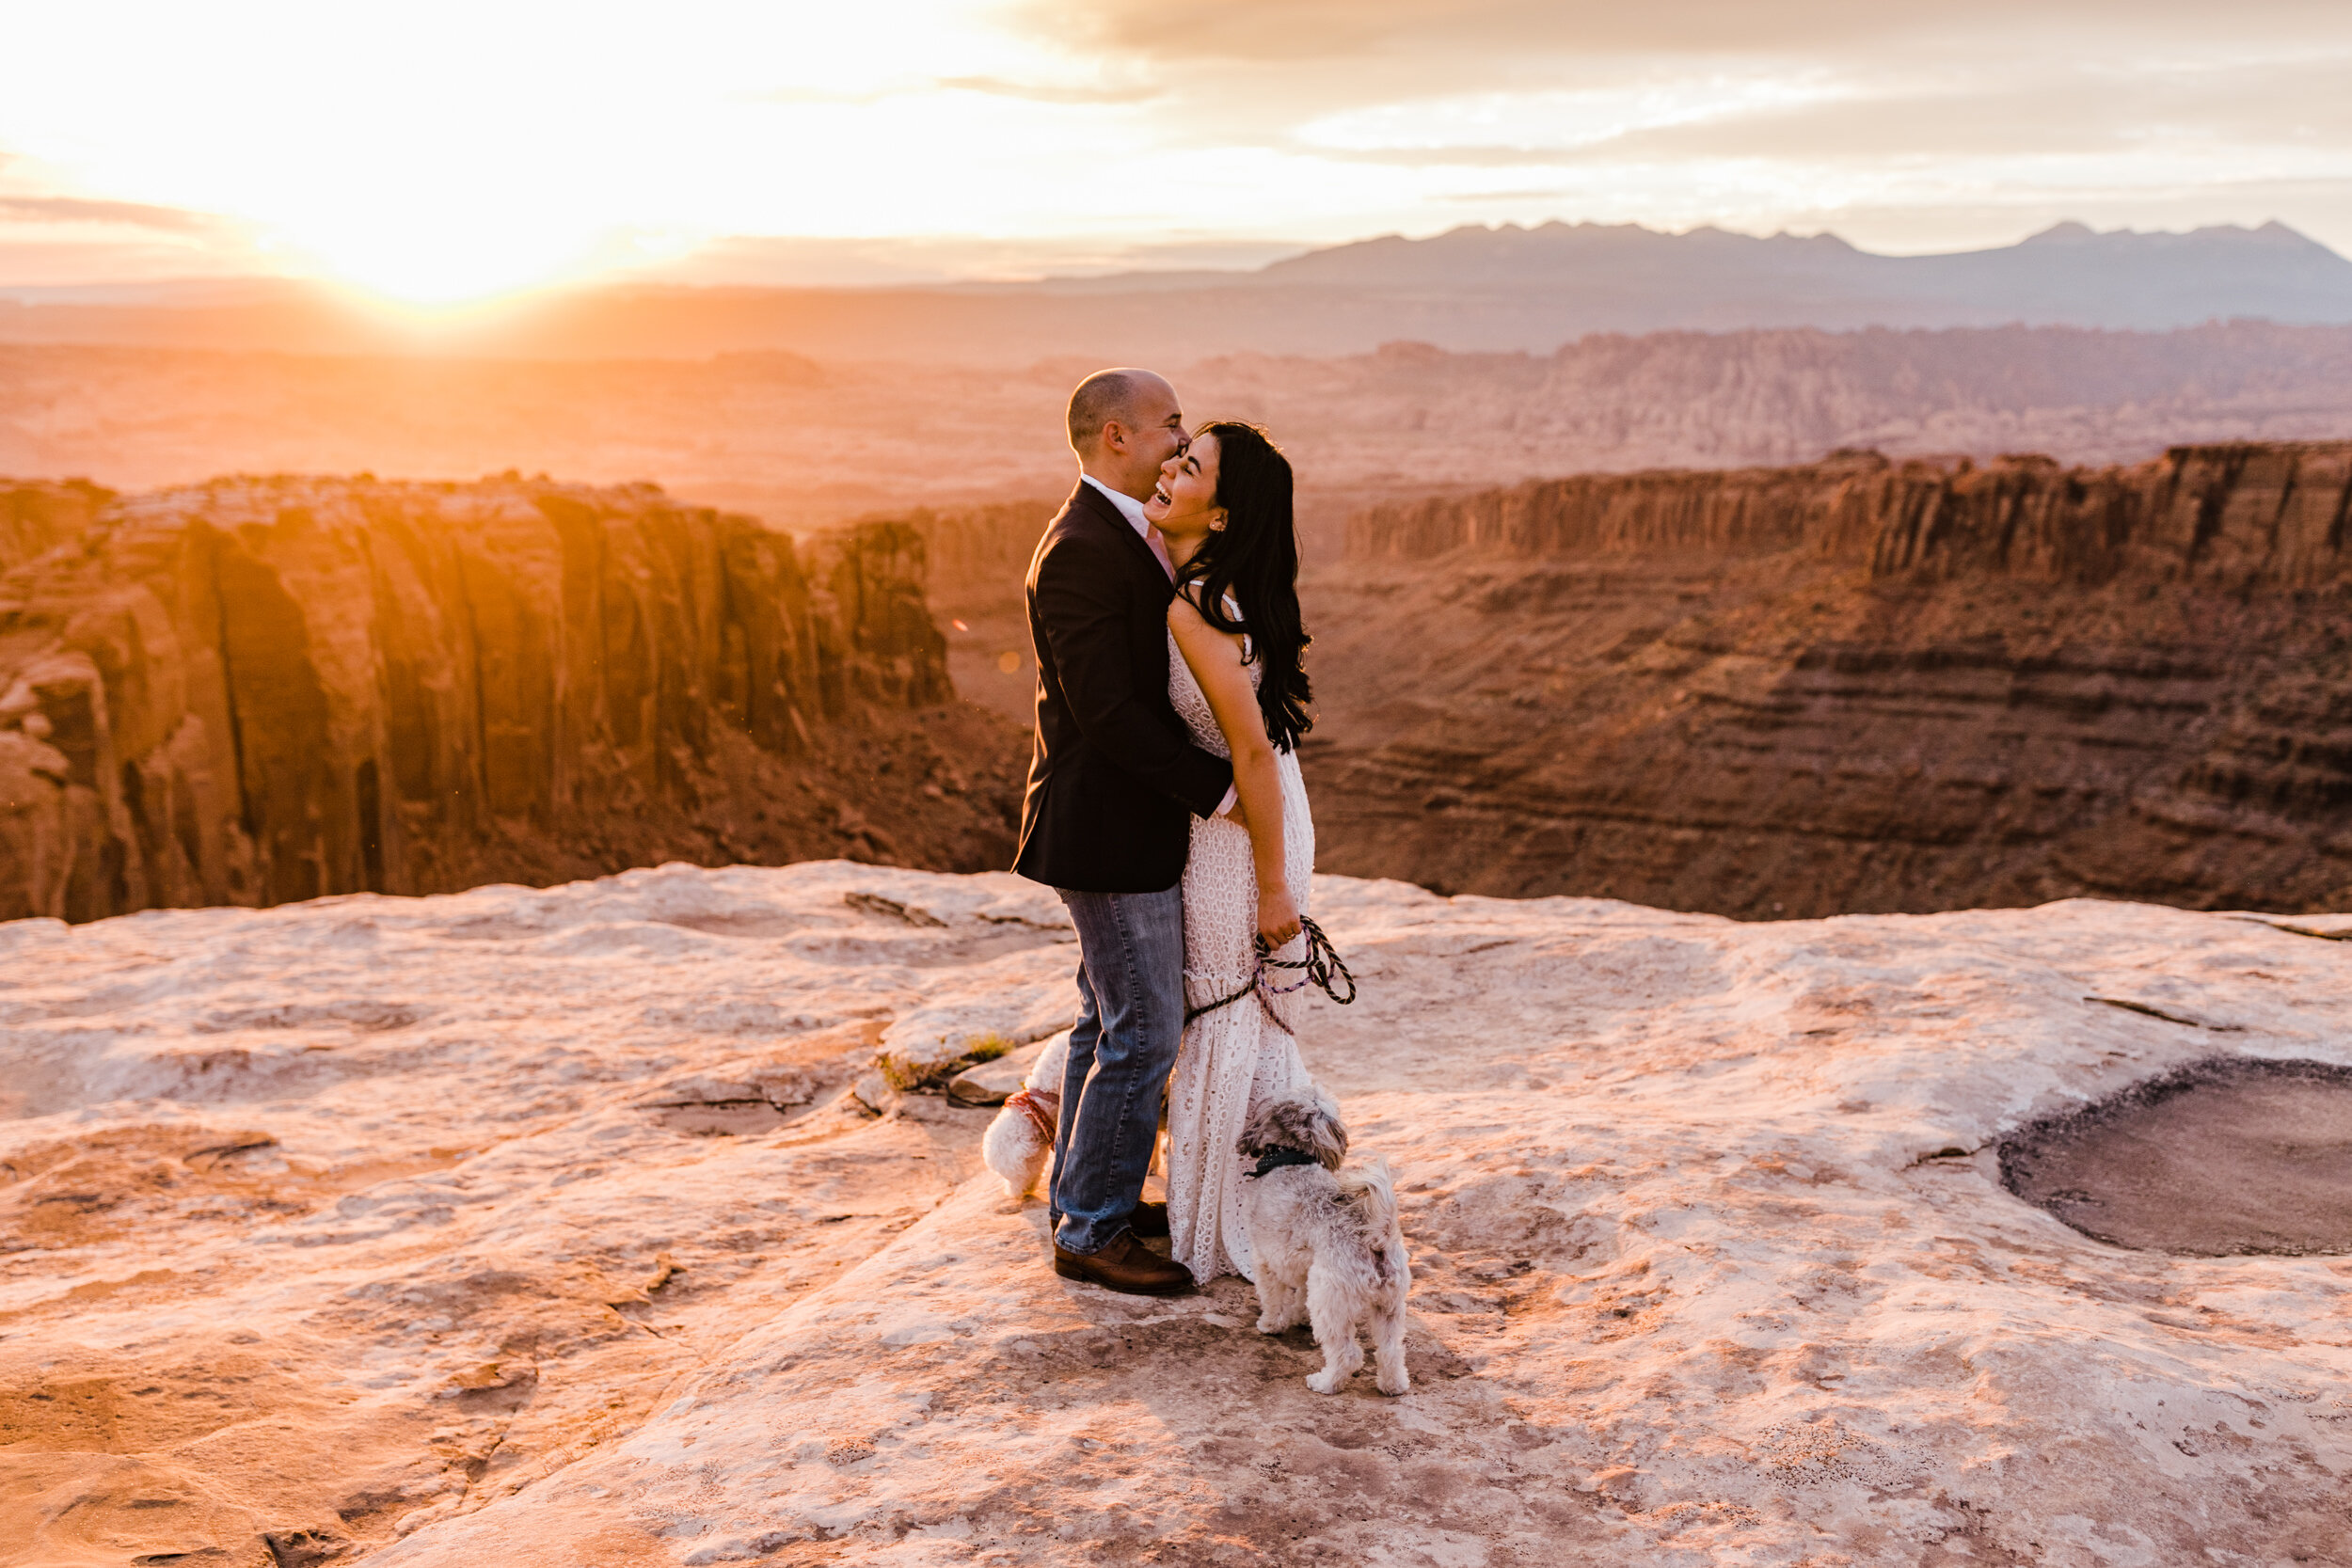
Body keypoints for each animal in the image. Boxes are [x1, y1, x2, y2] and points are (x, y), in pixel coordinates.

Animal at [1232, 1090, 1411, 1401]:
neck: (1291, 1160)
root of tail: (1376, 1239)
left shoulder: (1266, 1259)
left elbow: (1272, 1298)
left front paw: (1270, 1324)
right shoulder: (1305, 1267)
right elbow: (1298, 1296)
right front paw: (1298, 1318)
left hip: (1330, 1301)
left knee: (1348, 1354)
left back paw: (1325, 1383)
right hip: (1389, 1307)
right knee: (1390, 1351)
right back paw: (1393, 1386)